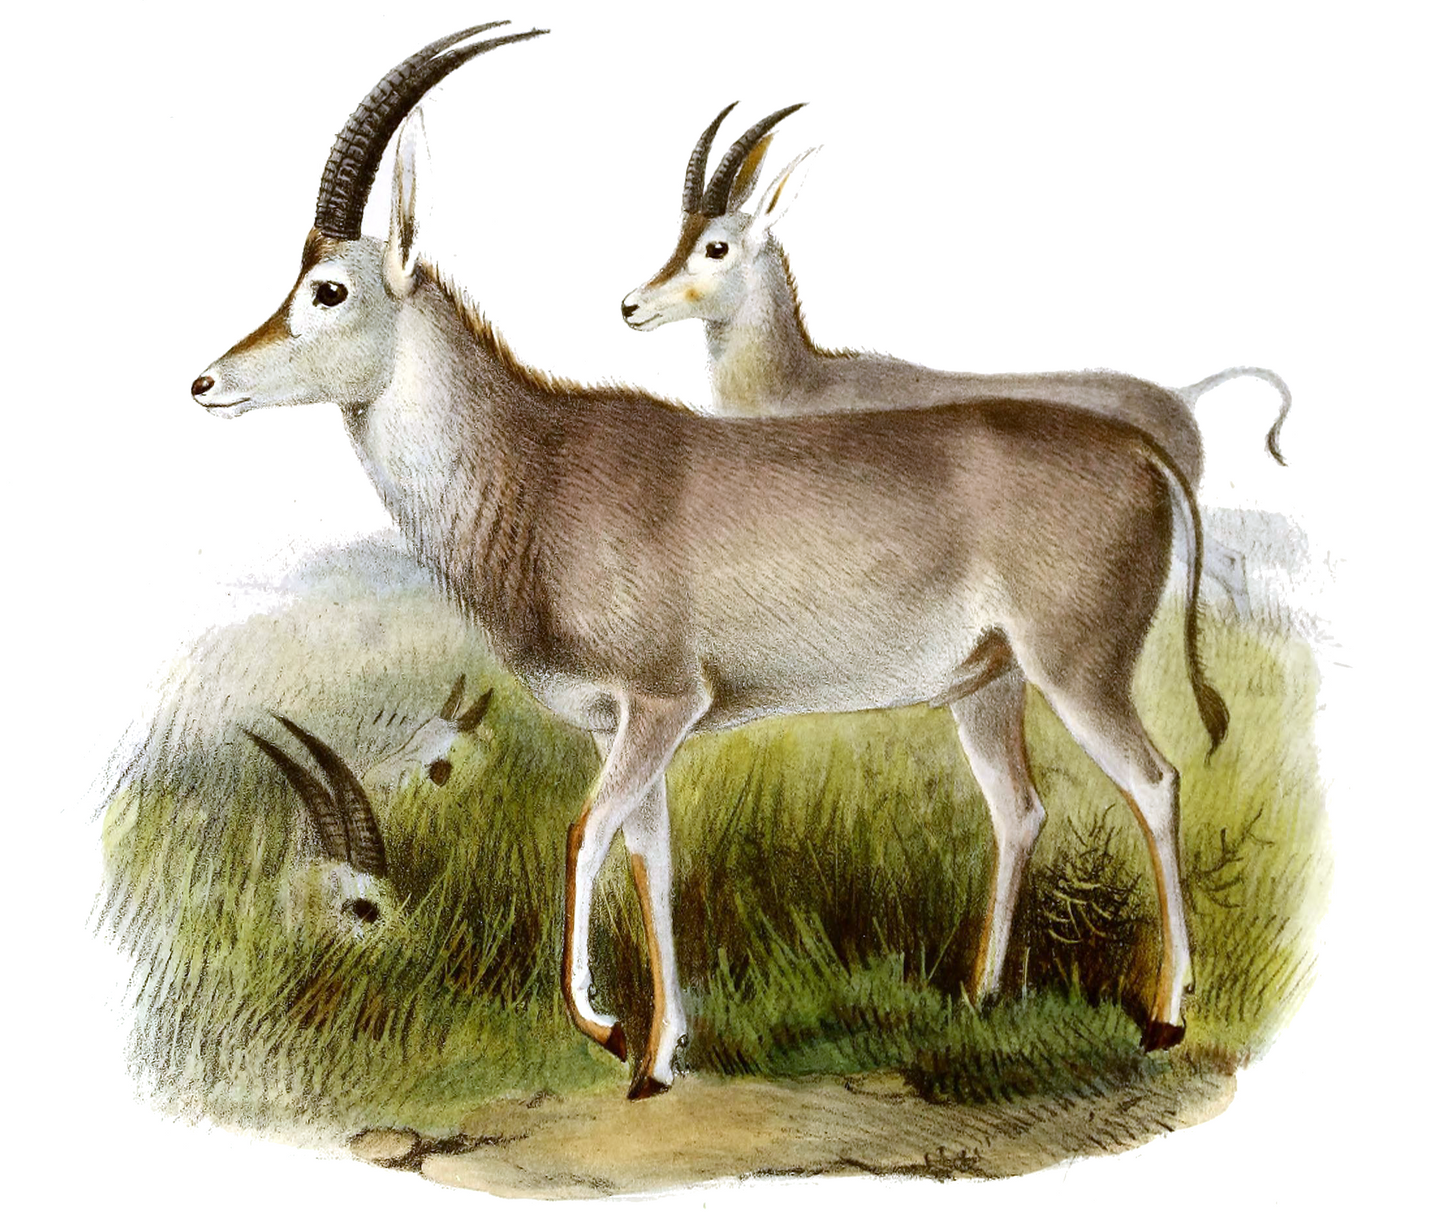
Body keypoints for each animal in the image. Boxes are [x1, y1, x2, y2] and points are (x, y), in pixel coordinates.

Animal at [621, 104, 1292, 614]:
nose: (631, 306)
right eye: (679, 236)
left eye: (716, 247)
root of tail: (1183, 395)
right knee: (1230, 563)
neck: (800, 381)